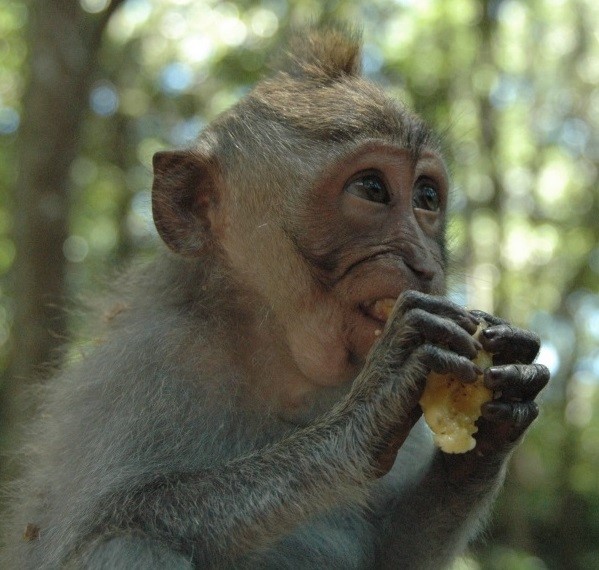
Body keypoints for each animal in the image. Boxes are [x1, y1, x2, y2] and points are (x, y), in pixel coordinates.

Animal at [2, 26, 552, 568]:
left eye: (427, 198)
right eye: (372, 189)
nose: (423, 263)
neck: (277, 356)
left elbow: (392, 554)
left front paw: (496, 422)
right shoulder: (147, 358)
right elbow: (92, 532)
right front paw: (365, 414)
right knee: (129, 543)